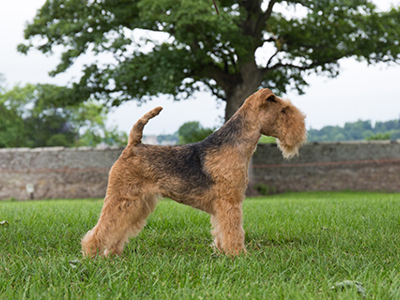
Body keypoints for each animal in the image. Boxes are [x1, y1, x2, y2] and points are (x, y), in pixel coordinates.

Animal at [81, 88, 306, 256]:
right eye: (283, 110)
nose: (301, 130)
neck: (235, 145)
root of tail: (132, 145)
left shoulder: (222, 206)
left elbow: (222, 231)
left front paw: (224, 253)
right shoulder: (230, 202)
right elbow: (234, 231)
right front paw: (239, 255)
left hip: (138, 203)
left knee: (118, 229)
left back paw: (113, 255)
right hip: (122, 197)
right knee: (101, 230)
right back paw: (92, 255)